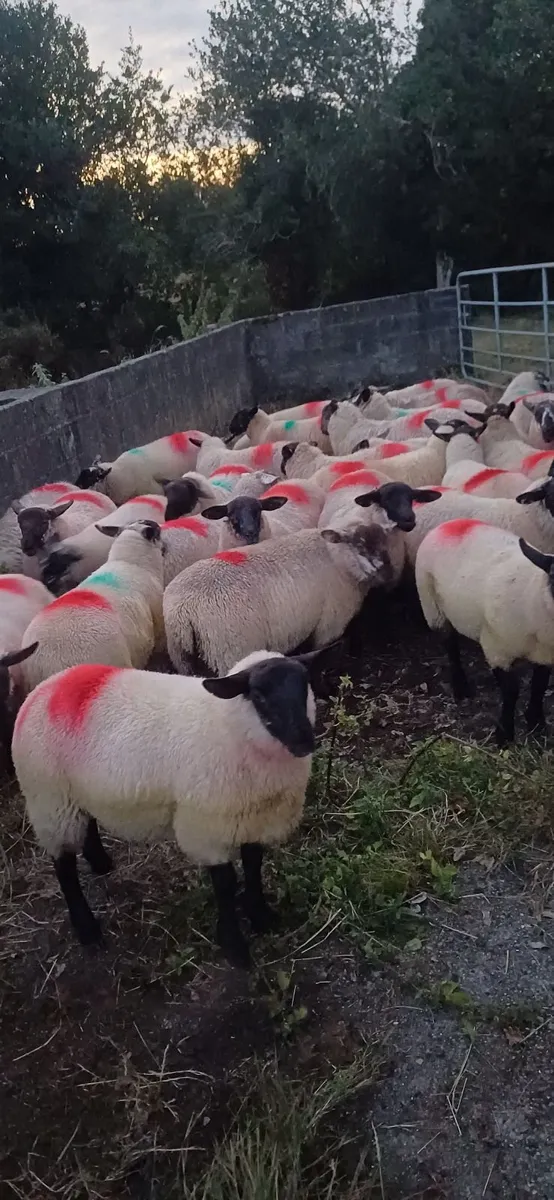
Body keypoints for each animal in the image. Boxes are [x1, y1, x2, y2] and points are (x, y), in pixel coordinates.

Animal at [12, 645, 334, 965]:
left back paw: (101, 863)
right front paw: (234, 944)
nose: (304, 742)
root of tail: (47, 687)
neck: (226, 726)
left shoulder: (253, 817)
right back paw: (87, 928)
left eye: (304, 685)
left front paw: (261, 916)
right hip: (50, 799)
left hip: (75, 792)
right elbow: (226, 884)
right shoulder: (207, 826)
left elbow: (254, 866)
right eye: (259, 695)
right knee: (63, 865)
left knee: (87, 821)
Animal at [163, 522, 408, 678]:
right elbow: (325, 651)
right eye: (358, 544)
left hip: (182, 655)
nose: (388, 572)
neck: (339, 560)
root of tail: (182, 609)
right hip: (229, 650)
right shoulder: (330, 622)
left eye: (385, 543)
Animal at [415, 520, 554, 745]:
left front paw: (536, 723)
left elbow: (539, 686)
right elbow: (511, 691)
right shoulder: (495, 648)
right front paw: (504, 733)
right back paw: (461, 688)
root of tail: (452, 523)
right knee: (450, 644)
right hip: (431, 605)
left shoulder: (545, 655)